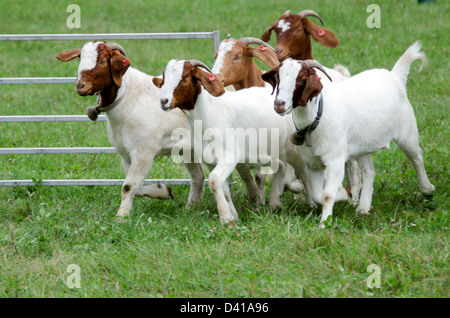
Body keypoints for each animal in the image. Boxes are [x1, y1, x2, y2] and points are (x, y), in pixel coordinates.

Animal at [55, 41, 205, 217]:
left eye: (103, 61)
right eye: (80, 58)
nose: (80, 86)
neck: (129, 99)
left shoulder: (143, 153)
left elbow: (128, 186)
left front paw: (121, 216)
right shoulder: (126, 155)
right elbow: (136, 188)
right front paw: (163, 191)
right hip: (188, 150)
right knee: (198, 176)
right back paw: (191, 208)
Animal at [153, 59, 314, 224]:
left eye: (184, 79)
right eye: (164, 79)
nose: (164, 101)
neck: (210, 112)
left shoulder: (228, 157)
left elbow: (213, 181)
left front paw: (225, 219)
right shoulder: (210, 161)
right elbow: (223, 189)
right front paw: (233, 216)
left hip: (294, 150)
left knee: (305, 173)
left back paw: (311, 202)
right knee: (281, 167)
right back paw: (274, 203)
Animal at [262, 42, 434, 226]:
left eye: (301, 79)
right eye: (278, 78)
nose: (280, 104)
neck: (318, 117)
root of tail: (395, 76)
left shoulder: (335, 161)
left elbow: (326, 194)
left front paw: (324, 222)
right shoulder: (312, 164)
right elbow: (317, 195)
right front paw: (345, 195)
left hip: (407, 132)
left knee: (417, 157)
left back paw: (427, 190)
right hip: (362, 146)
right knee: (369, 171)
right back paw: (363, 208)